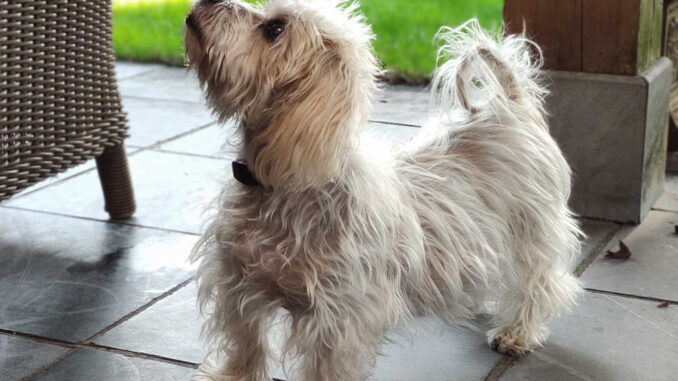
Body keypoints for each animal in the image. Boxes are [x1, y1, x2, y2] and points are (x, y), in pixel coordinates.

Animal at [185, 1, 584, 378]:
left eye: (274, 29)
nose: (206, 1)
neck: (286, 185)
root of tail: (512, 107)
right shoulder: (237, 282)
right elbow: (246, 341)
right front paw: (232, 375)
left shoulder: (338, 317)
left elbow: (323, 366)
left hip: (531, 233)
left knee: (538, 283)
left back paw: (518, 331)